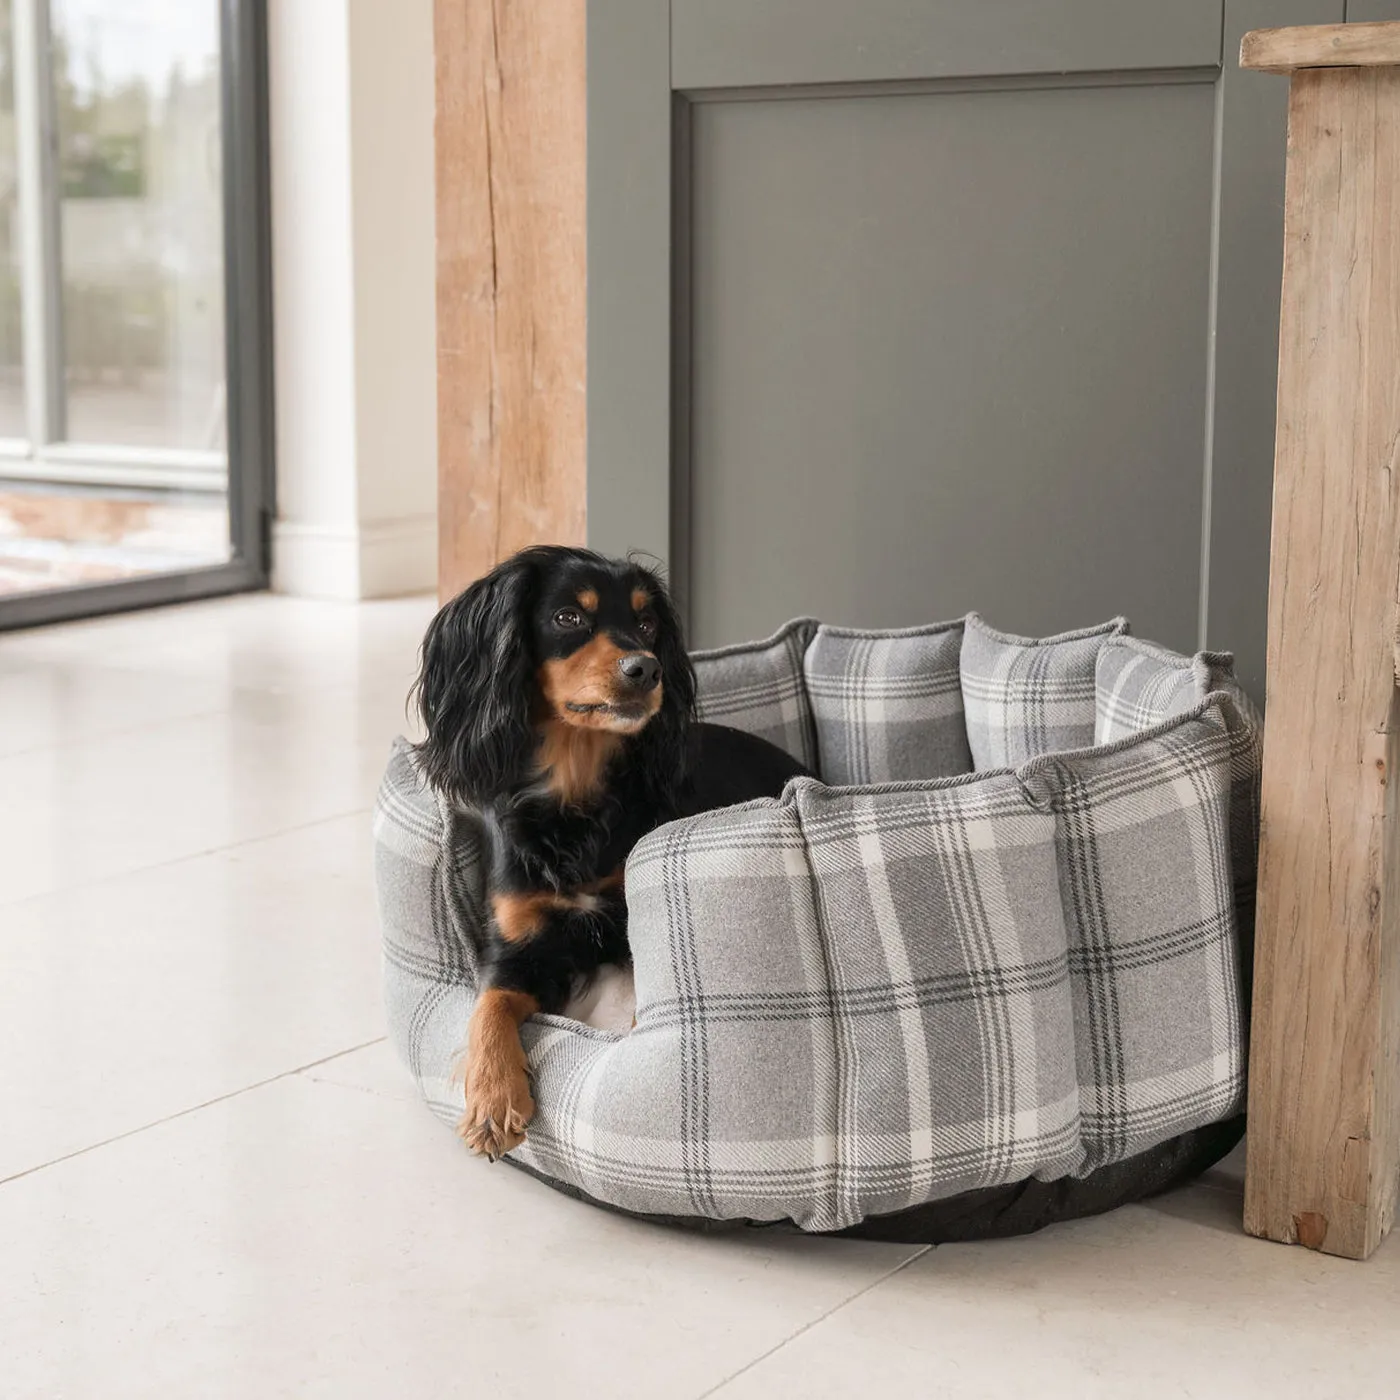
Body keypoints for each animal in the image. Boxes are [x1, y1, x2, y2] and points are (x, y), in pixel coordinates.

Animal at [408, 546, 812, 1159]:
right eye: (568, 617)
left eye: (646, 624)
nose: (646, 669)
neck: (575, 794)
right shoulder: (519, 943)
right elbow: (489, 1004)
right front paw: (494, 1098)